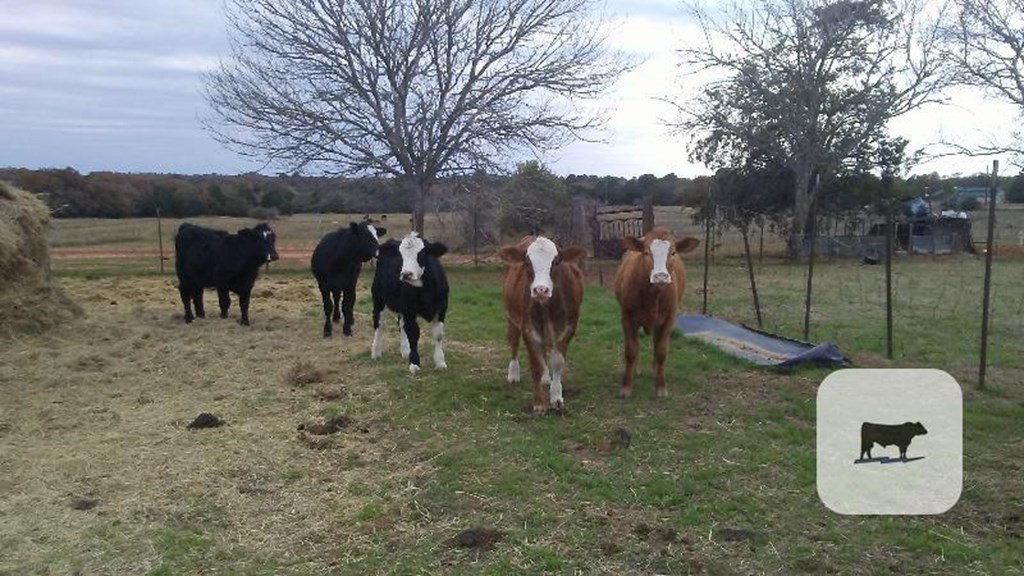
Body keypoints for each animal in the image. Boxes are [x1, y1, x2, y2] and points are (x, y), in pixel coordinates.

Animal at [370, 230, 446, 375]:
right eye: (401, 256)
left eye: (422, 253)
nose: (406, 274)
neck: (425, 290)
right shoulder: (410, 310)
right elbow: (413, 334)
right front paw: (414, 363)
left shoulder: (441, 310)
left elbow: (438, 335)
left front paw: (440, 362)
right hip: (378, 298)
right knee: (379, 324)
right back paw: (375, 352)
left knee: (401, 324)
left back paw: (405, 351)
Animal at [495, 235, 585, 409]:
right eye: (527, 263)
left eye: (556, 262)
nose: (540, 290)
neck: (547, 307)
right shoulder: (528, 328)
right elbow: (535, 366)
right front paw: (539, 404)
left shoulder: (569, 327)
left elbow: (557, 362)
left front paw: (556, 397)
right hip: (511, 318)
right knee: (514, 343)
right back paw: (513, 374)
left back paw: (545, 378)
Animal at [610, 226, 700, 397]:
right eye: (646, 252)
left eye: (673, 253)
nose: (660, 277)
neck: (653, 297)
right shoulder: (627, 318)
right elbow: (631, 350)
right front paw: (626, 387)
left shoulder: (669, 319)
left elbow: (661, 351)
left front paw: (661, 387)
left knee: (656, 342)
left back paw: (654, 368)